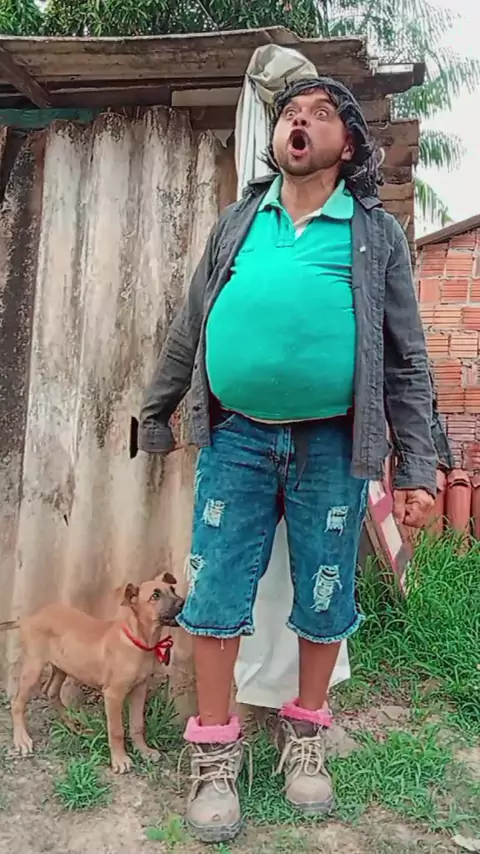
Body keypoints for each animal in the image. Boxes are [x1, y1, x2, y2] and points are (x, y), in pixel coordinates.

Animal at [11, 572, 184, 773]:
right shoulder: (113, 694)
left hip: (63, 665)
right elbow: (116, 730)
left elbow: (137, 725)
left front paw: (144, 751)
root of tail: (31, 616)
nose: (183, 602)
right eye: (155, 596)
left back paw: (74, 725)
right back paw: (22, 739)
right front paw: (120, 760)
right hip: (34, 666)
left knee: (51, 691)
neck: (138, 640)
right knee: (17, 702)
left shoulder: (140, 688)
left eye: (172, 589)